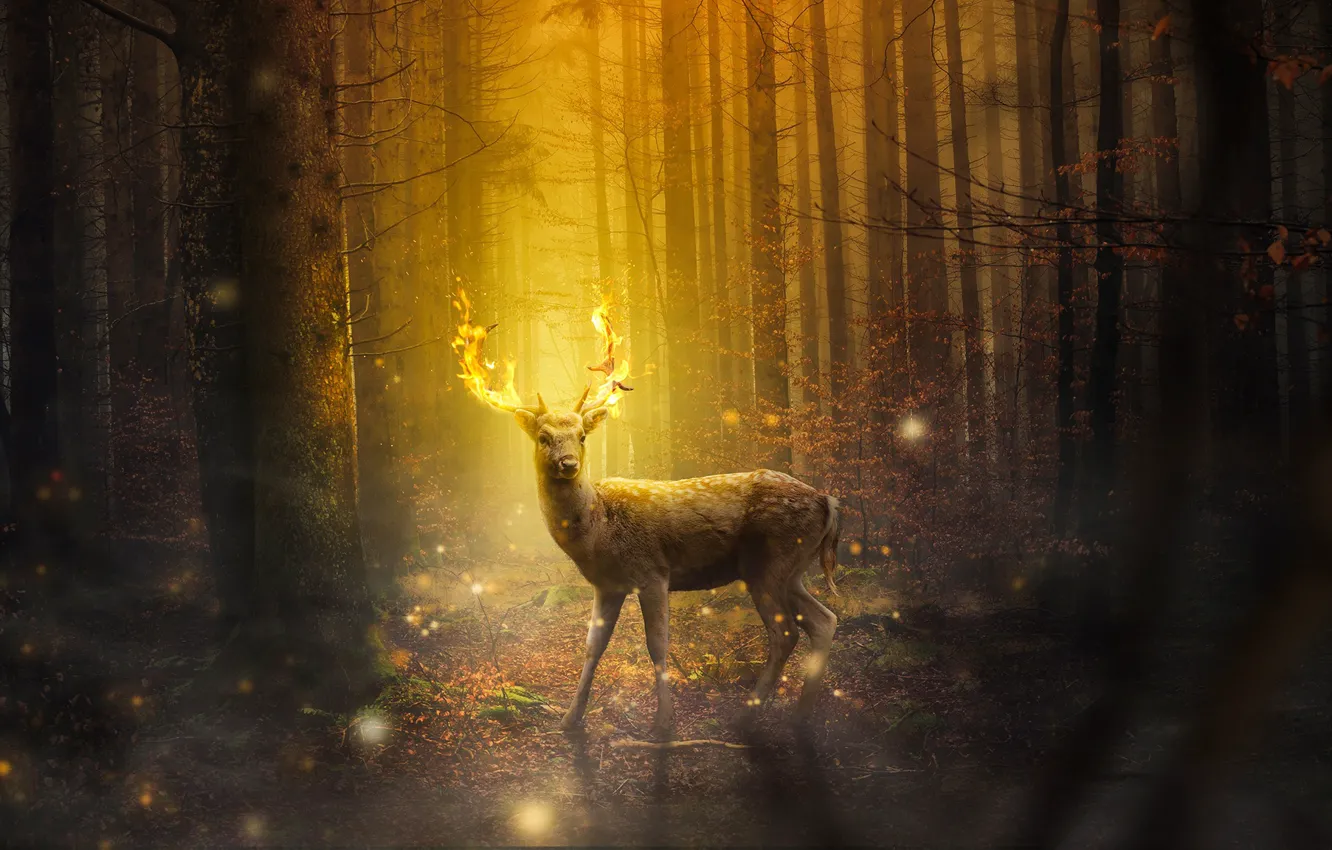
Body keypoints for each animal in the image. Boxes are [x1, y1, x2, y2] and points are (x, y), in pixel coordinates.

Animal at [453, 294, 840, 737]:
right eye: (544, 438)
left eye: (581, 436)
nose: (569, 464)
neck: (599, 531)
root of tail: (828, 501)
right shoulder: (607, 585)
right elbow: (592, 648)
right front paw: (570, 719)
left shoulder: (653, 572)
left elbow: (657, 643)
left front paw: (664, 724)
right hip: (791, 570)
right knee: (824, 620)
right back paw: (800, 715)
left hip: (769, 562)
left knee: (785, 632)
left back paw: (747, 715)